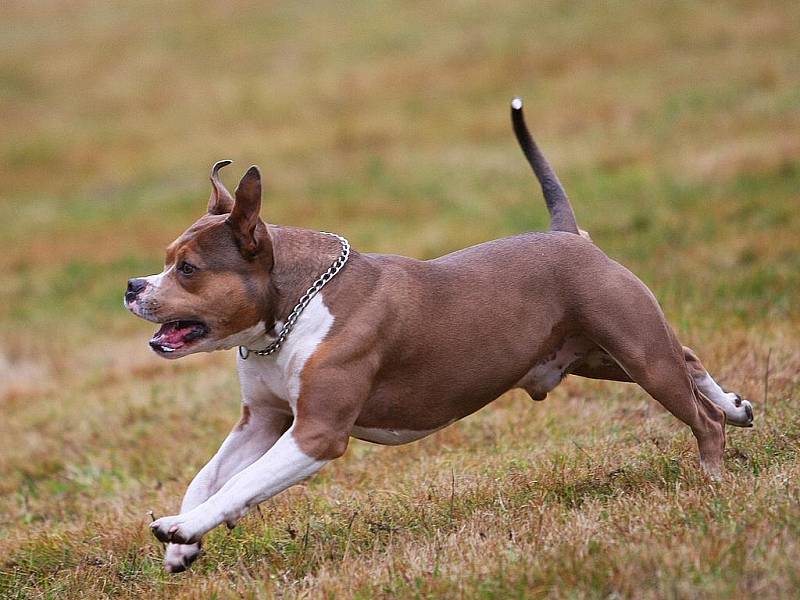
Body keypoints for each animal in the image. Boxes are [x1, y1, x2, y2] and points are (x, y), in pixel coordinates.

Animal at [126, 98, 756, 572]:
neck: (293, 307)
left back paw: (714, 480)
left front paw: (181, 527)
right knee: (689, 357)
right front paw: (185, 545)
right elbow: (209, 475)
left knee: (699, 414)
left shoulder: (316, 433)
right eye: (167, 259)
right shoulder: (263, 420)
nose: (133, 286)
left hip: (636, 352)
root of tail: (568, 234)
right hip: (598, 356)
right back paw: (738, 406)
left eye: (188, 269)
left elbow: (240, 483)